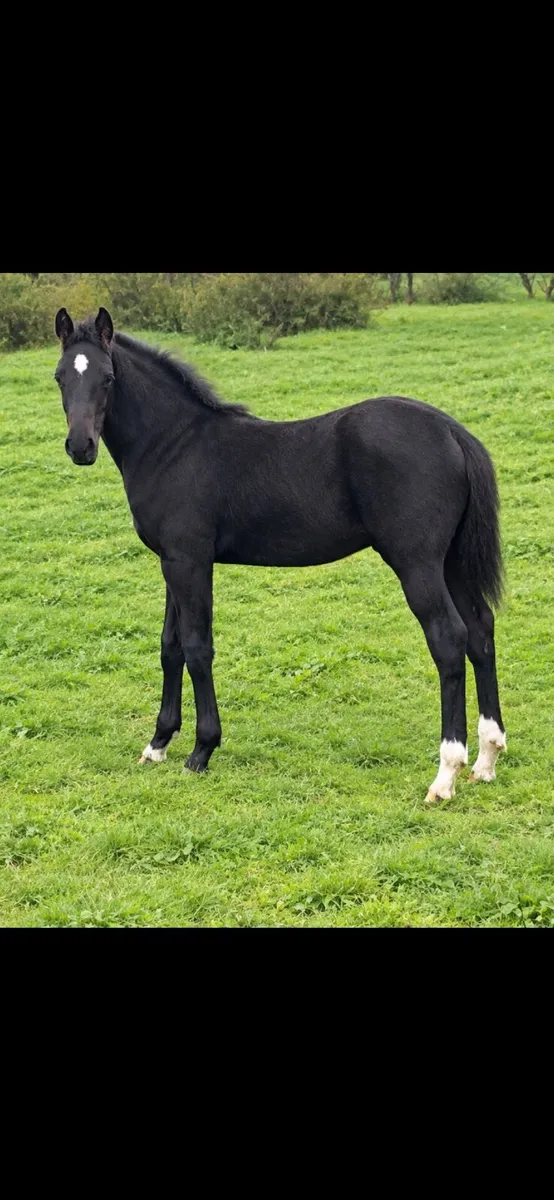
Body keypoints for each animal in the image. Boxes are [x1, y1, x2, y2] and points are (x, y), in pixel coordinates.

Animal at [53, 306, 507, 803]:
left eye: (108, 378)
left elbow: (197, 647)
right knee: (481, 630)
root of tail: (451, 430)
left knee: (449, 639)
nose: (80, 447)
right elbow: (170, 647)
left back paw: (446, 774)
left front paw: (201, 750)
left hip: (418, 563)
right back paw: (486, 759)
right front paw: (157, 745)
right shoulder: (171, 562)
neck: (174, 445)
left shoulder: (190, 562)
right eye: (59, 377)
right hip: (452, 562)